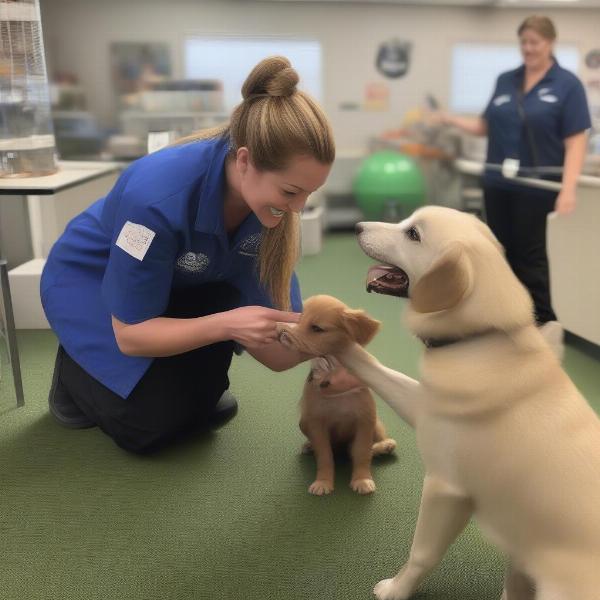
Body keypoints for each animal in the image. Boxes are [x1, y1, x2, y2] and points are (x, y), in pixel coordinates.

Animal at [280, 296, 396, 496]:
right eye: (299, 319)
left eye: (317, 328)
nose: (284, 332)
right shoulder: (317, 424)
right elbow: (325, 457)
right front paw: (323, 482)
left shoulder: (364, 421)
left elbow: (362, 453)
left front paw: (362, 479)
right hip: (304, 422)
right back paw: (309, 446)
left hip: (376, 424)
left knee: (373, 446)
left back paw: (384, 446)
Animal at [296, 206, 600, 600]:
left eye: (412, 234)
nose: (358, 226)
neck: (477, 339)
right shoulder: (421, 404)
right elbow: (371, 365)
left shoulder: (445, 488)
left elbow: (421, 554)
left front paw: (395, 589)